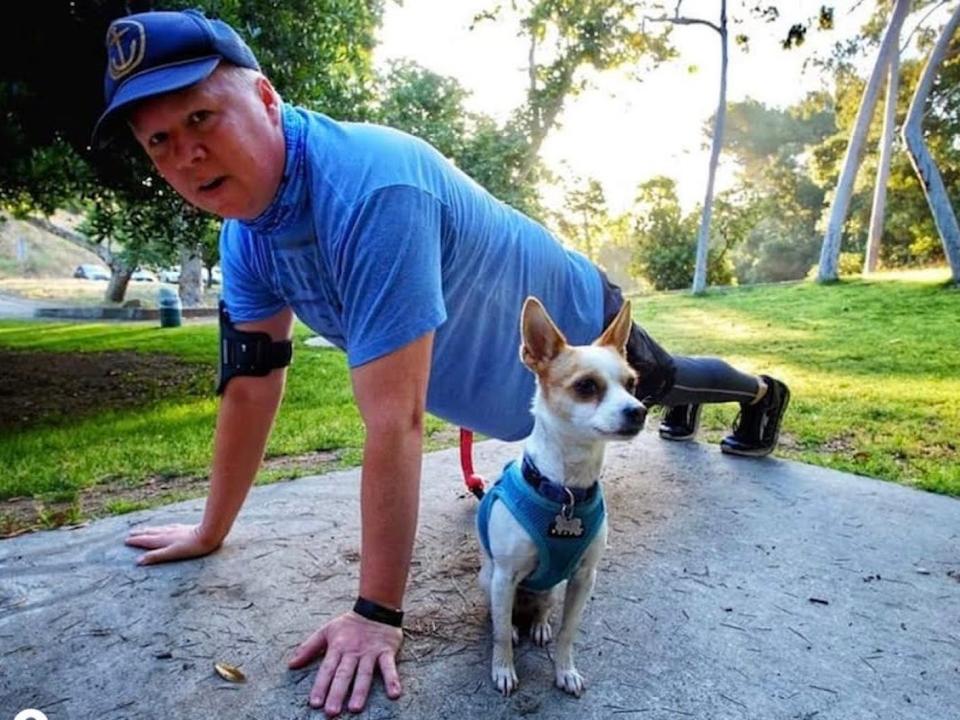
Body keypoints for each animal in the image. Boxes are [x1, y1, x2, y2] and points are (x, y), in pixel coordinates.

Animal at [474, 296, 644, 696]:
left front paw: (565, 670)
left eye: (631, 384)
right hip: (490, 581)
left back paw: (538, 625)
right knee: (502, 620)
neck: (566, 490)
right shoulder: (504, 577)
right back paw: (513, 628)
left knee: (542, 607)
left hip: (552, 588)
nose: (639, 411)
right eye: (586, 386)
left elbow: (569, 632)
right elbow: (500, 636)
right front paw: (503, 670)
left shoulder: (583, 579)